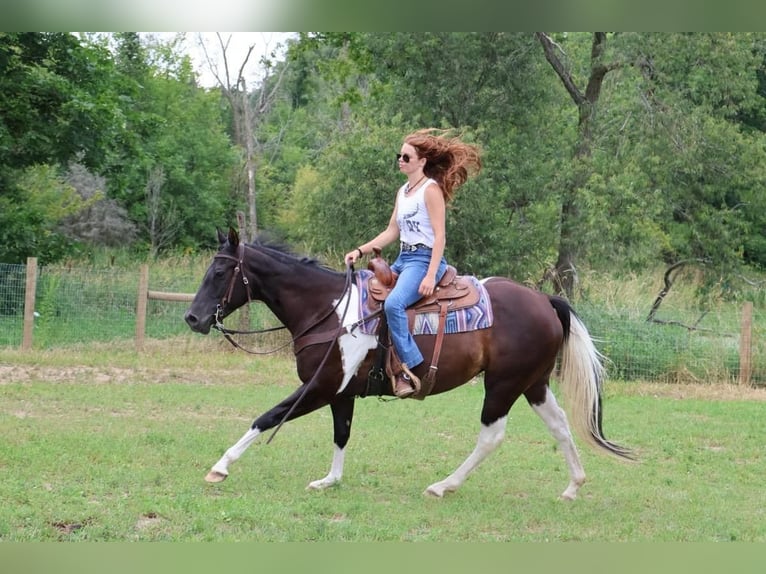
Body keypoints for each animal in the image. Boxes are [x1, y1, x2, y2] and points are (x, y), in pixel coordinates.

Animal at [184, 227, 633, 499]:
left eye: (220, 271)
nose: (193, 318)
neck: (329, 310)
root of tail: (544, 300)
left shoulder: (320, 386)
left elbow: (267, 417)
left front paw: (220, 467)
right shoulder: (341, 391)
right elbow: (342, 433)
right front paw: (330, 480)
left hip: (503, 385)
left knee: (491, 436)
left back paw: (443, 485)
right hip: (533, 383)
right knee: (560, 426)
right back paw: (573, 486)